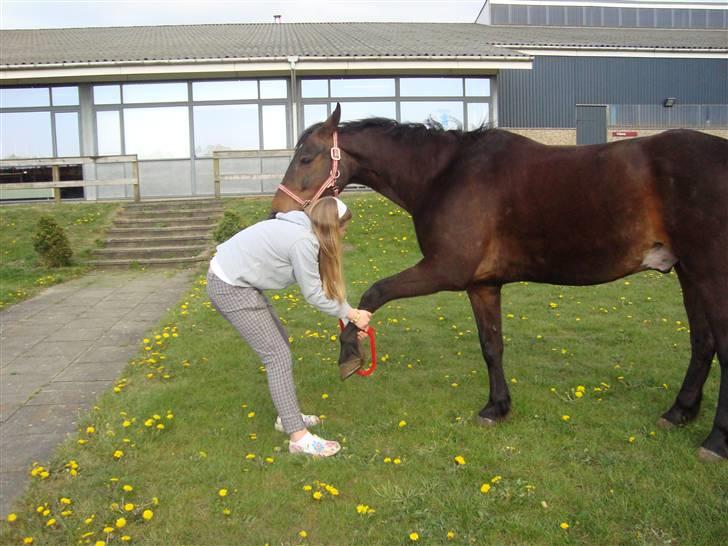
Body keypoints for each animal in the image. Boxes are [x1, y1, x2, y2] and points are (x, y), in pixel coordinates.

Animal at [272, 103, 728, 460]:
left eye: (308, 156)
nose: (277, 210)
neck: (444, 174)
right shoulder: (482, 285)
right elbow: (491, 346)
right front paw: (496, 408)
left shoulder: (444, 269)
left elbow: (374, 292)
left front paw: (349, 353)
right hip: (689, 272)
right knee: (702, 343)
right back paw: (679, 412)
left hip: (710, 273)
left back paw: (715, 441)